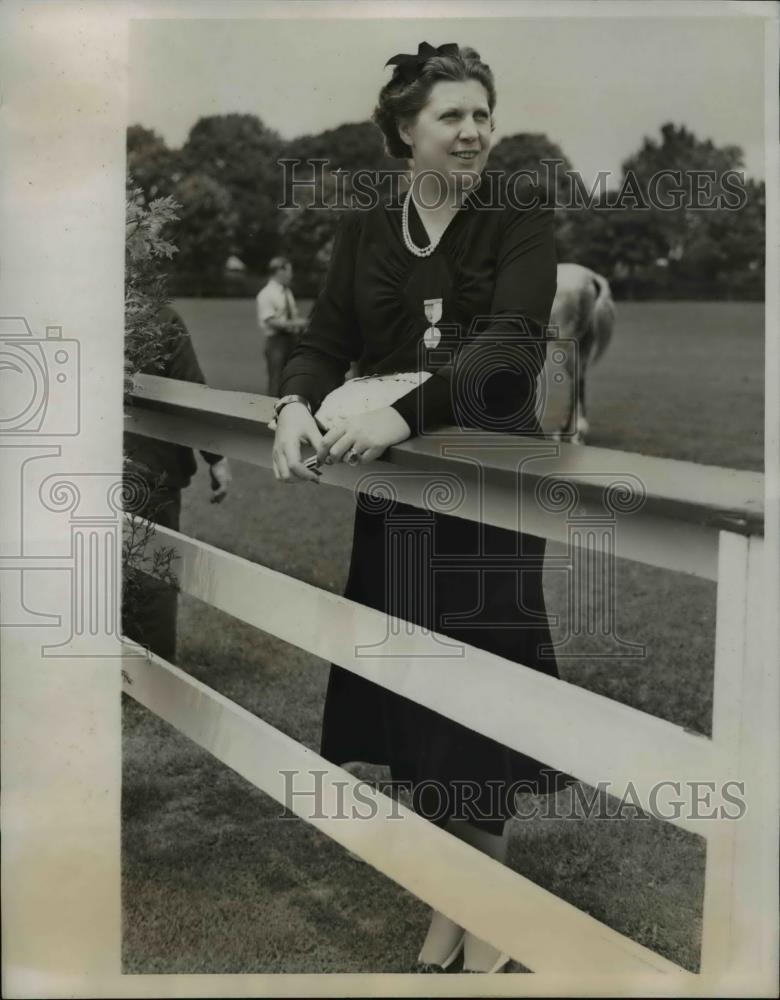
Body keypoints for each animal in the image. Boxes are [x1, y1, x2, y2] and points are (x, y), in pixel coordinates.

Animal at [544, 262, 616, 442]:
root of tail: (591, 277)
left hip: (567, 343)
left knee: (575, 381)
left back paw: (567, 432)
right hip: (584, 343)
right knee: (581, 379)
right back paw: (575, 432)